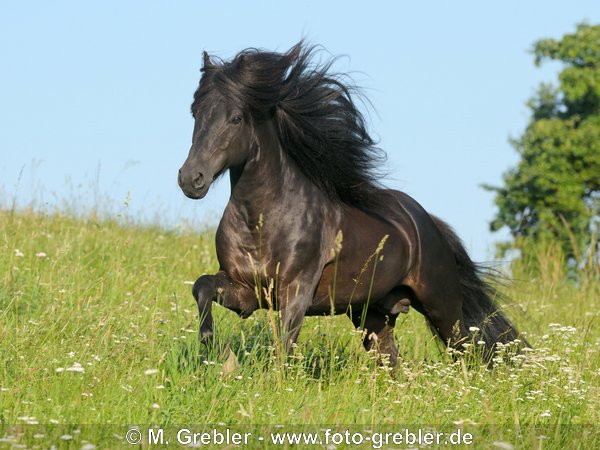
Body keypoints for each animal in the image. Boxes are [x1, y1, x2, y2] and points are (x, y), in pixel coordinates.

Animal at [178, 41, 524, 366]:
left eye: (236, 118)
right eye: (195, 113)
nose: (191, 179)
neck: (261, 221)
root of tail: (428, 223)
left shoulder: (295, 293)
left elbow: (284, 349)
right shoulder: (245, 289)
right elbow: (202, 286)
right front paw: (210, 343)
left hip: (441, 304)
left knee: (468, 348)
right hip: (372, 314)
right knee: (393, 361)